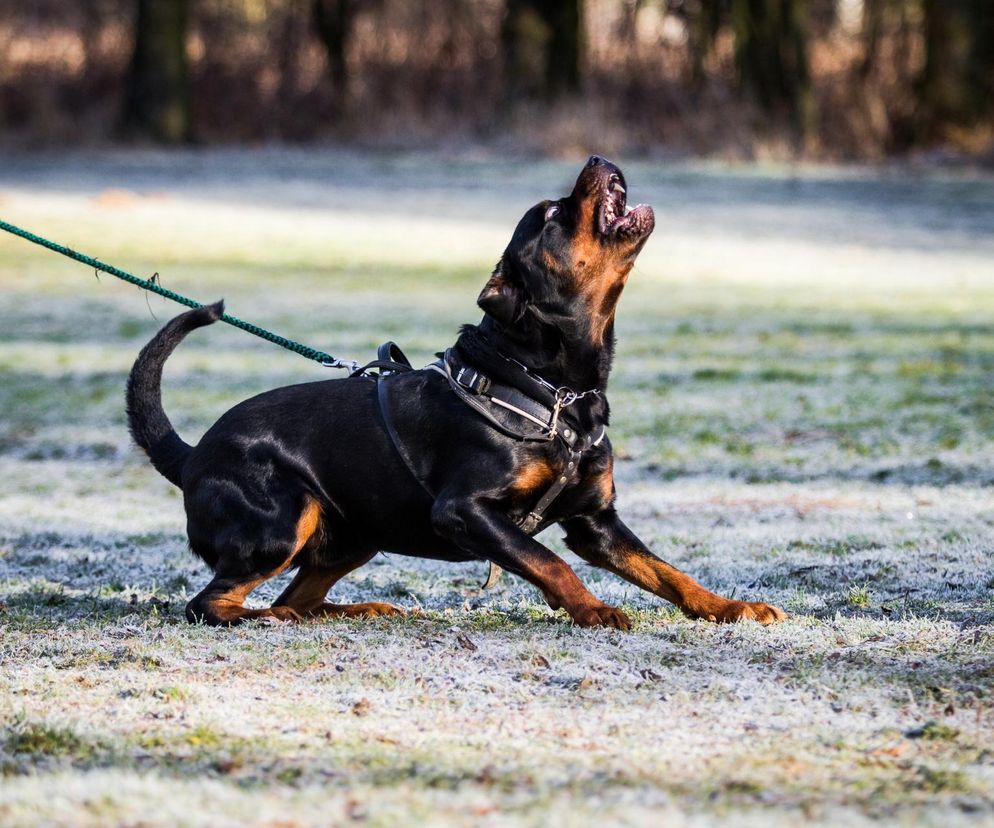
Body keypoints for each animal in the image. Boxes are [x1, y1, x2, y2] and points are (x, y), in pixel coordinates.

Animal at [126, 157, 784, 628]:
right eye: (552, 214)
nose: (598, 157)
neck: (557, 392)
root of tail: (191, 455)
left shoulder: (595, 520)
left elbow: (667, 572)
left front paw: (732, 608)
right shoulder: (466, 510)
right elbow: (549, 562)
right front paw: (593, 610)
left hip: (354, 534)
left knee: (296, 599)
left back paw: (353, 610)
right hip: (282, 521)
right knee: (210, 604)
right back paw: (263, 620)